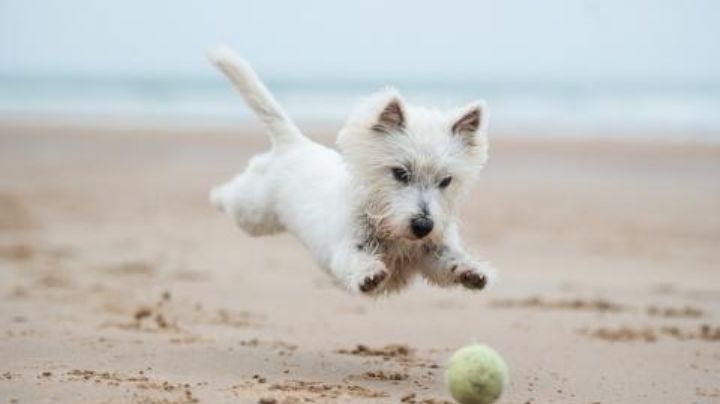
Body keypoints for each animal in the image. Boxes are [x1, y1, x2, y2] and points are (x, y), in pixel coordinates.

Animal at [210, 45, 496, 296]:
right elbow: (355, 259)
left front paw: (472, 271)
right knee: (233, 195)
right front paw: (369, 275)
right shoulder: (347, 246)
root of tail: (294, 143)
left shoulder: (429, 252)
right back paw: (215, 196)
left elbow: (448, 259)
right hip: (254, 212)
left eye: (446, 181)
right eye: (401, 173)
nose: (423, 226)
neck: (390, 229)